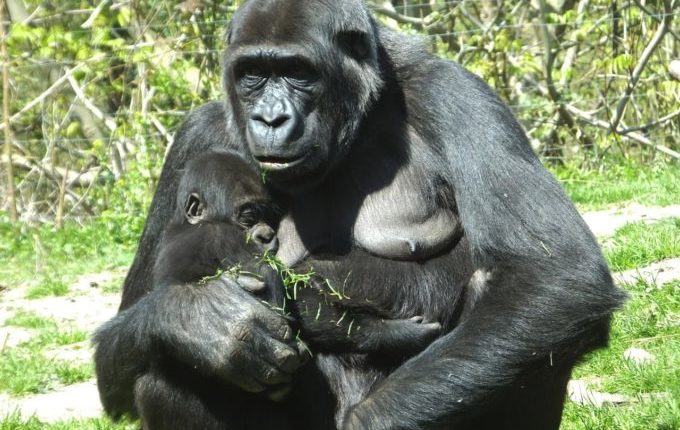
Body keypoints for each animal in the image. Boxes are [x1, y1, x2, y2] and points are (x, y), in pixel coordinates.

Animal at [153, 149, 440, 358]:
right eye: (248, 218)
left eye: (269, 216)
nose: (268, 235)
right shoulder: (225, 238)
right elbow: (281, 292)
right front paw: (396, 334)